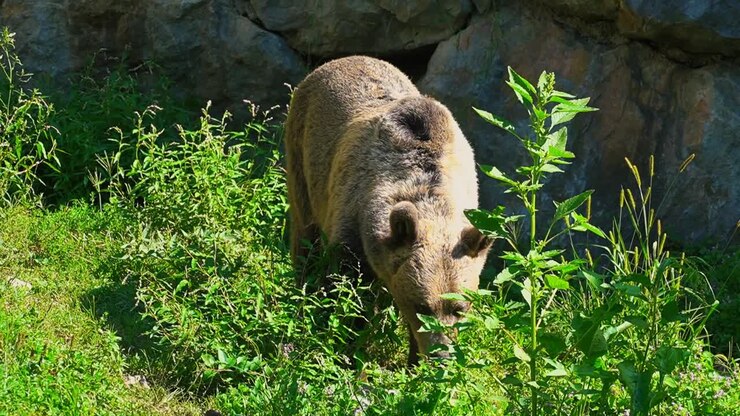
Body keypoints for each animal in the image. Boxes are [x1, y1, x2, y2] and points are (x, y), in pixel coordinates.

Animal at [284, 55, 492, 365]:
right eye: (422, 306)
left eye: (460, 307)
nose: (442, 356)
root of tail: (343, 59)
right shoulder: (353, 223)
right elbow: (347, 294)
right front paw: (344, 346)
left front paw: (413, 361)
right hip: (303, 152)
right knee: (304, 232)